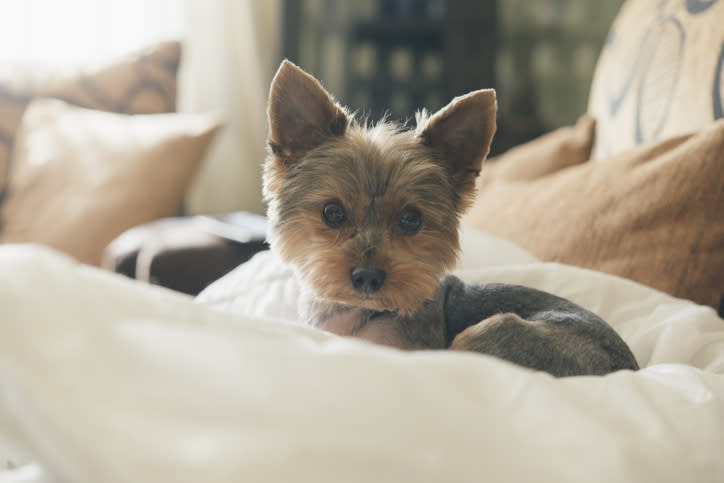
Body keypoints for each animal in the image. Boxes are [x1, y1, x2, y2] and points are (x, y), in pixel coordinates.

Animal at [262, 60, 640, 378]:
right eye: (332, 213)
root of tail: (627, 370)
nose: (368, 277)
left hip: (497, 333)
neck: (356, 312)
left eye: (411, 219)